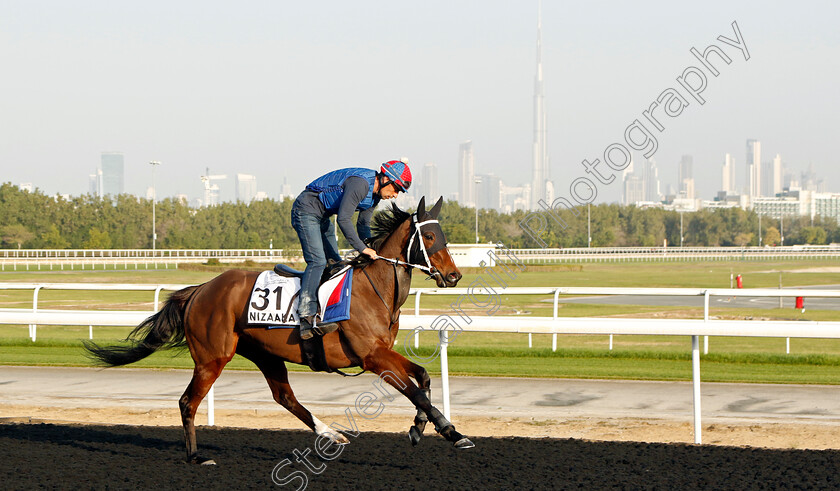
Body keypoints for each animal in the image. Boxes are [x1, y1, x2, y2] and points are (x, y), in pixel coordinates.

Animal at [84, 197, 472, 466]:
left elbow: (422, 377)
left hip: (264, 354)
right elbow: (415, 390)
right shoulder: (372, 356)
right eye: (430, 235)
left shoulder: (383, 353)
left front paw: (420, 428)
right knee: (187, 401)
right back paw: (196, 456)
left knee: (284, 397)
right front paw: (451, 432)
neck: (373, 289)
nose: (454, 276)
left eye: (445, 235)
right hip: (213, 357)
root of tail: (200, 289)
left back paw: (331, 433)